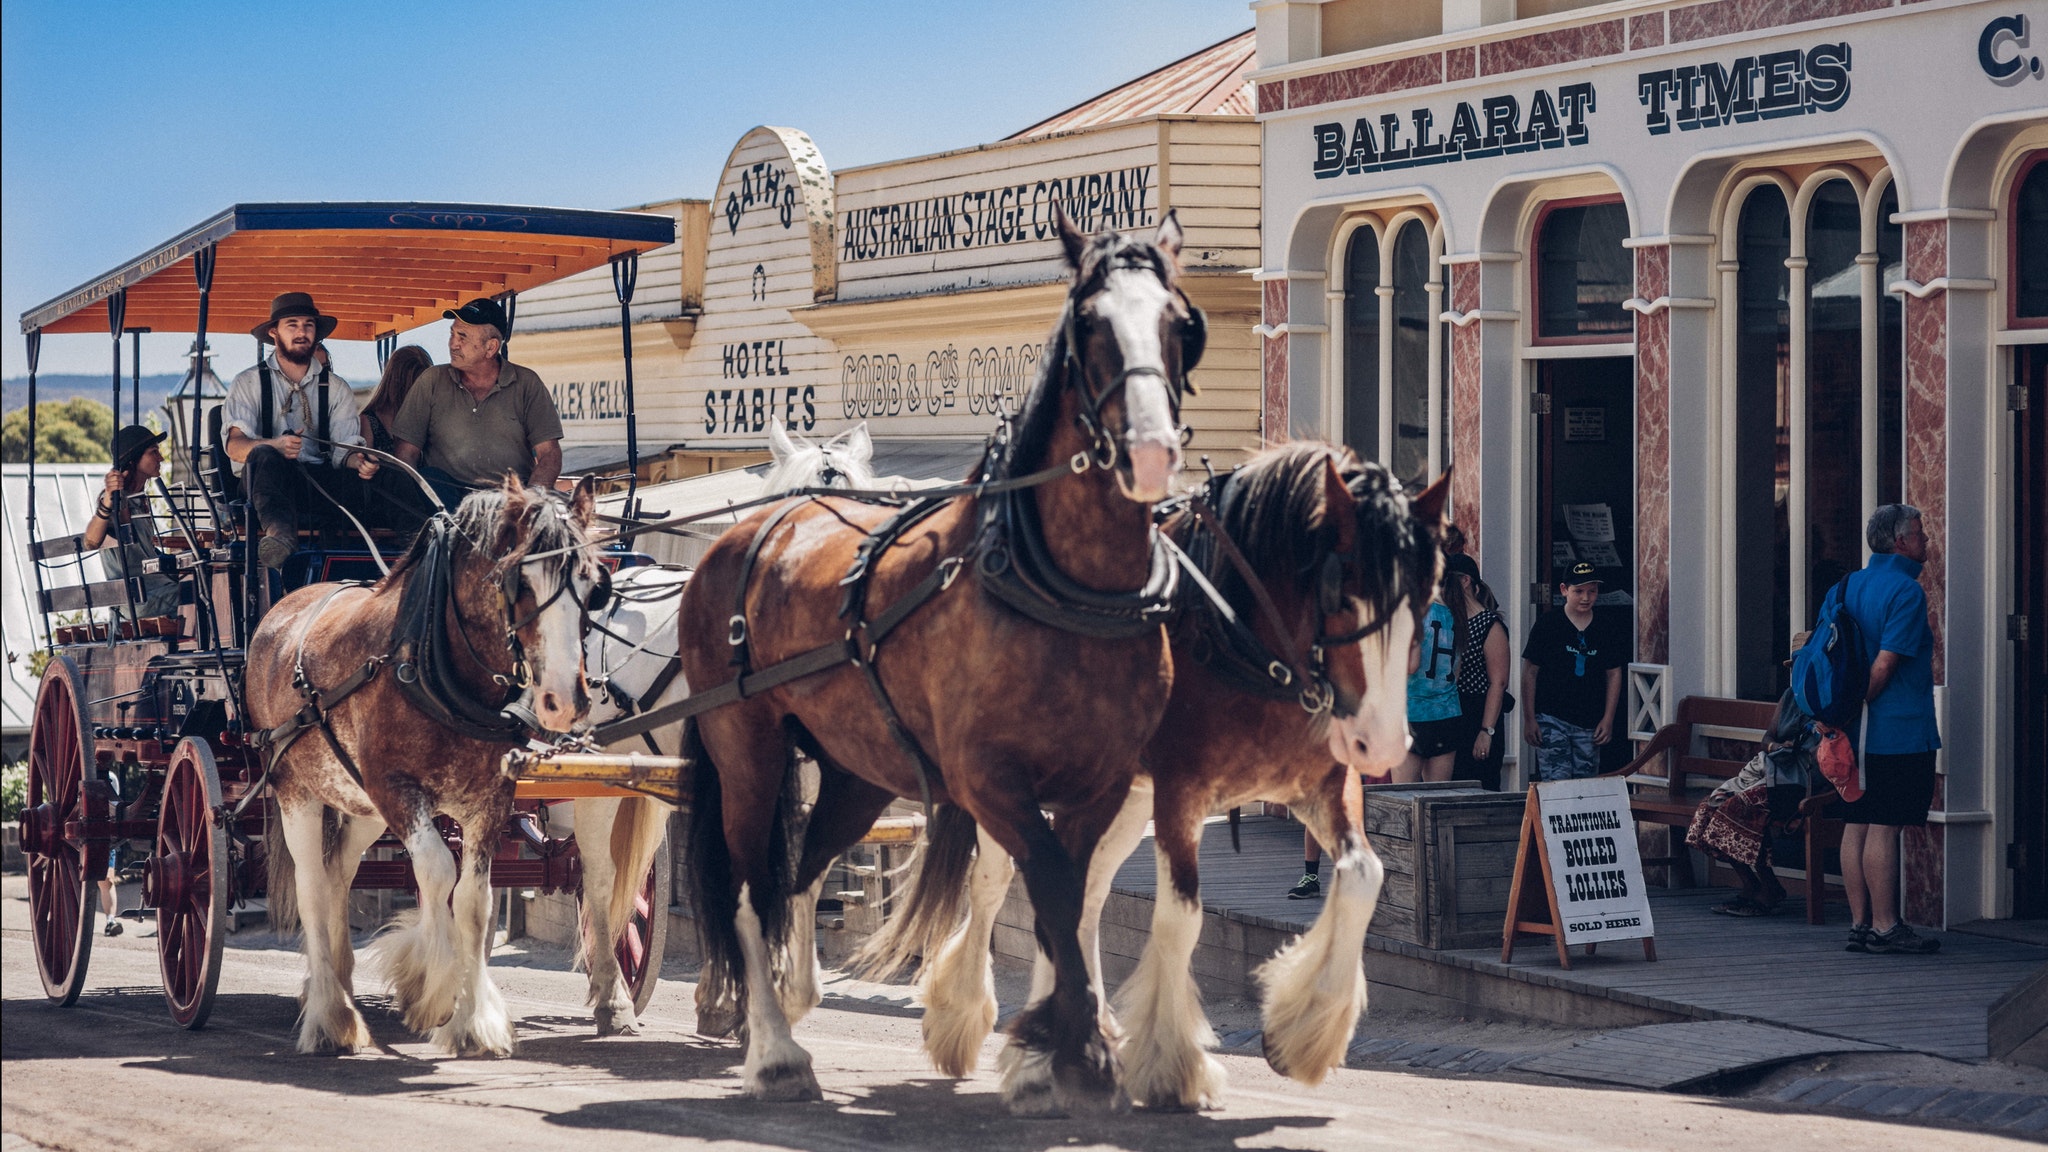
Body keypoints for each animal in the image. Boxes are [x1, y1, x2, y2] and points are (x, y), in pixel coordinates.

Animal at [247, 475, 606, 1049]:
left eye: (593, 583)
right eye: (519, 582)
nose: (563, 699)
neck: (437, 660)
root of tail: (282, 610)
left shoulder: (489, 800)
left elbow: (475, 901)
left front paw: (475, 1021)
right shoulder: (396, 789)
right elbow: (438, 872)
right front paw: (431, 990)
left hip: (361, 806)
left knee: (337, 874)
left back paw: (338, 984)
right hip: (297, 793)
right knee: (310, 886)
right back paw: (330, 1014)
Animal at [679, 208, 1196, 1115]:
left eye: (1179, 324)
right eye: (1089, 324)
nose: (1151, 451)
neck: (1062, 585)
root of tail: (749, 531)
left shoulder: (1100, 782)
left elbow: (1070, 901)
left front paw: (1056, 1044)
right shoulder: (990, 779)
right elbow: (1051, 888)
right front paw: (1065, 1048)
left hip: (855, 771)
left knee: (800, 874)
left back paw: (790, 1003)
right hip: (744, 748)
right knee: (749, 886)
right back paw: (774, 1051)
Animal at [872, 438, 1449, 1106]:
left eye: (1424, 595)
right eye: (1340, 590)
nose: (1382, 742)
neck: (1244, 638)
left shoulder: (1324, 787)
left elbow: (1363, 876)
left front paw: (1302, 1032)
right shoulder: (1181, 793)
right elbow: (1181, 918)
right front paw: (1174, 1063)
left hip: (1121, 801)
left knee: (1081, 897)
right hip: (1017, 789)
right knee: (997, 884)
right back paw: (972, 1019)